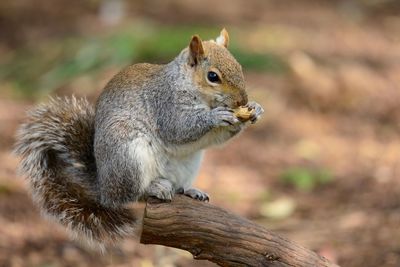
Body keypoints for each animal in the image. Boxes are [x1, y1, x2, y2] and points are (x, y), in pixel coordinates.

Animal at [14, 29, 266, 249]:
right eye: (213, 76)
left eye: (239, 67)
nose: (242, 100)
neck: (189, 87)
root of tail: (103, 186)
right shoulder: (165, 104)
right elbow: (179, 128)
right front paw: (217, 116)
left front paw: (254, 109)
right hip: (129, 156)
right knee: (129, 196)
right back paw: (154, 188)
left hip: (188, 165)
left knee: (174, 186)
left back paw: (188, 190)